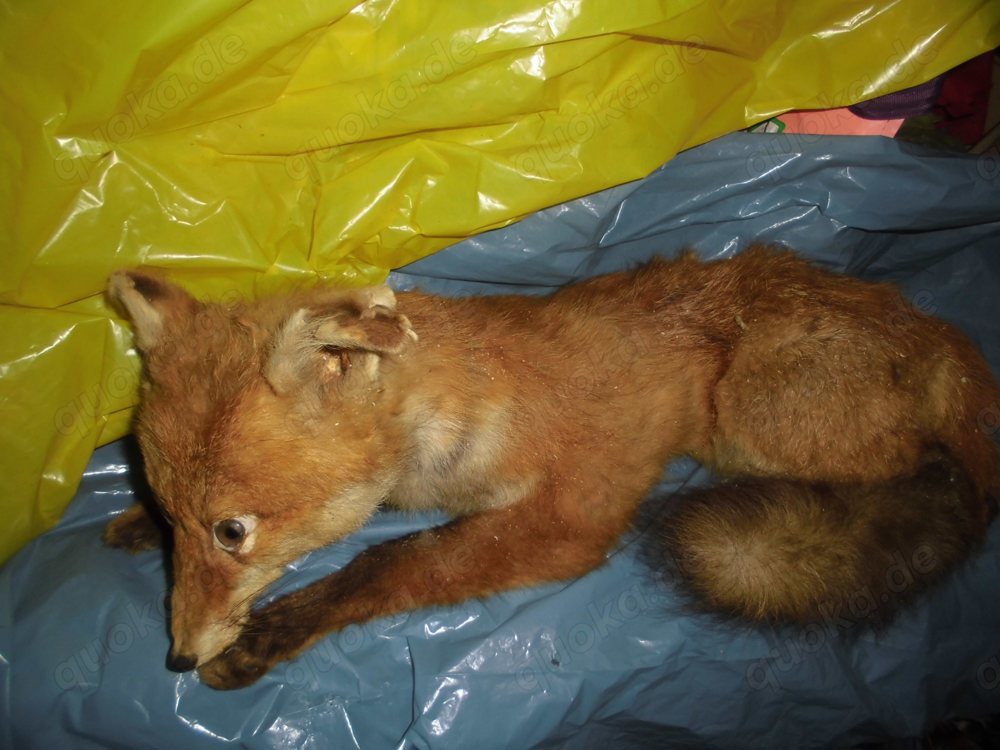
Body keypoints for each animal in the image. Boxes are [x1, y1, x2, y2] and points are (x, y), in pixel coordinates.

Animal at [102, 246, 999, 690]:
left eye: (233, 531)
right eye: (180, 518)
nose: (175, 660)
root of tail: (940, 332)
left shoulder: (572, 516)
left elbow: (399, 560)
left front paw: (273, 631)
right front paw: (133, 522)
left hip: (753, 416)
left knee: (934, 474)